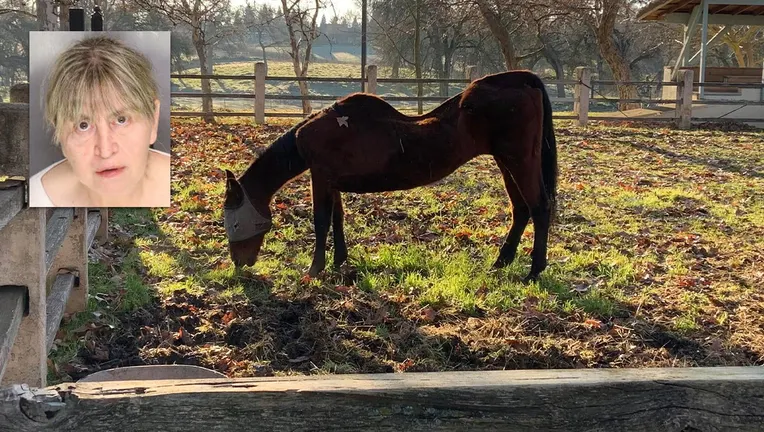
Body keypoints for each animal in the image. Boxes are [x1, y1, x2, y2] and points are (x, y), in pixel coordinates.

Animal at [224, 69, 560, 282]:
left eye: (235, 222)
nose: (239, 263)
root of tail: (523, 80)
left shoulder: (319, 178)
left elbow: (321, 222)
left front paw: (314, 270)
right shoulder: (331, 181)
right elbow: (337, 219)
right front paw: (340, 262)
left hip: (519, 161)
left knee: (539, 207)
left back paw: (534, 271)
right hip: (506, 163)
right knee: (521, 210)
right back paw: (501, 262)